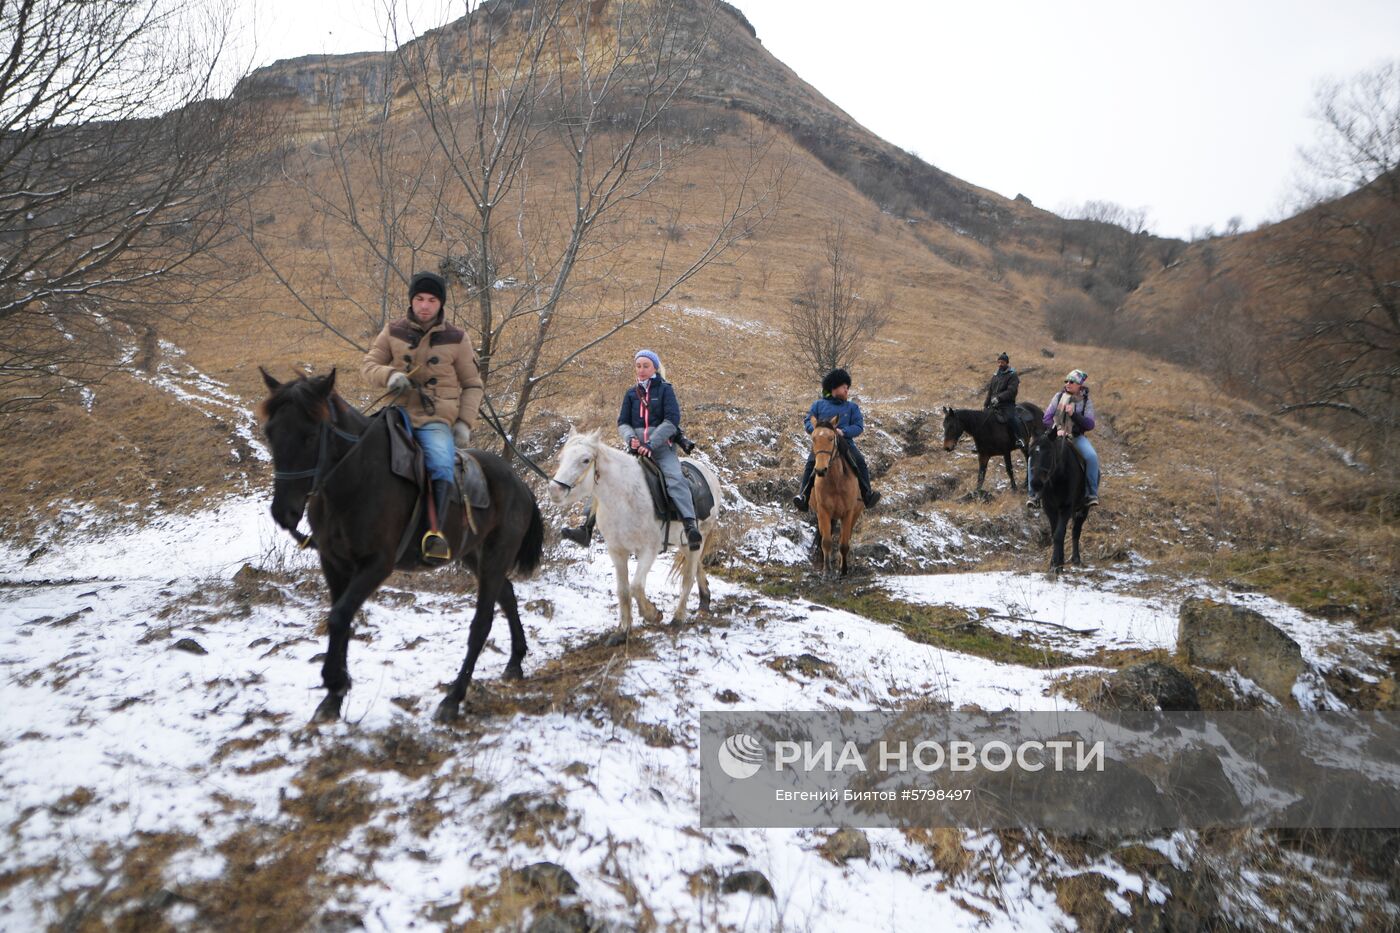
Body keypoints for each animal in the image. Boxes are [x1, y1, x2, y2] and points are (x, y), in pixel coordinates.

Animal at [254, 369, 543, 717]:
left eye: (310, 436)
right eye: (270, 433)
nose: (283, 512)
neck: (354, 480)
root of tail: (519, 482)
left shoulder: (377, 564)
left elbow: (339, 615)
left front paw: (334, 683)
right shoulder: (333, 562)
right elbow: (341, 617)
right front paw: (334, 697)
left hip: (496, 556)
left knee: (482, 623)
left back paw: (454, 697)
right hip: (474, 555)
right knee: (508, 595)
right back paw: (515, 662)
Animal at [548, 425, 722, 633]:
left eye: (585, 460)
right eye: (561, 458)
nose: (555, 490)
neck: (624, 498)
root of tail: (709, 474)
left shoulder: (648, 550)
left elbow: (636, 586)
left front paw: (653, 614)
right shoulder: (617, 551)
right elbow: (623, 591)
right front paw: (623, 630)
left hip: (698, 536)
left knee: (688, 577)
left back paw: (678, 618)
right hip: (684, 542)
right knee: (695, 567)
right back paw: (704, 600)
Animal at [1024, 425, 1086, 571]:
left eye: (1049, 453)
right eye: (1030, 453)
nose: (1036, 483)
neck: (1058, 477)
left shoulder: (1066, 507)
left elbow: (1059, 534)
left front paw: (1056, 565)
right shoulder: (1050, 508)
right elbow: (1055, 534)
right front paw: (1056, 562)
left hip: (1082, 508)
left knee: (1076, 531)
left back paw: (1076, 558)